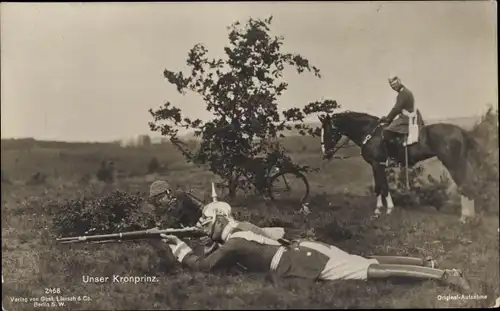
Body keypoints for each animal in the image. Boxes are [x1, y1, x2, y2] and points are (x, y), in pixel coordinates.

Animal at [320, 111, 488, 223]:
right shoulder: (378, 166)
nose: (326, 153)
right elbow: (381, 187)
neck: (370, 133)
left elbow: (382, 187)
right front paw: (382, 209)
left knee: (464, 185)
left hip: (453, 163)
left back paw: (465, 217)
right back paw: (469, 216)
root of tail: (460, 131)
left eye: (328, 131)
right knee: (468, 184)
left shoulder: (377, 164)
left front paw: (385, 210)